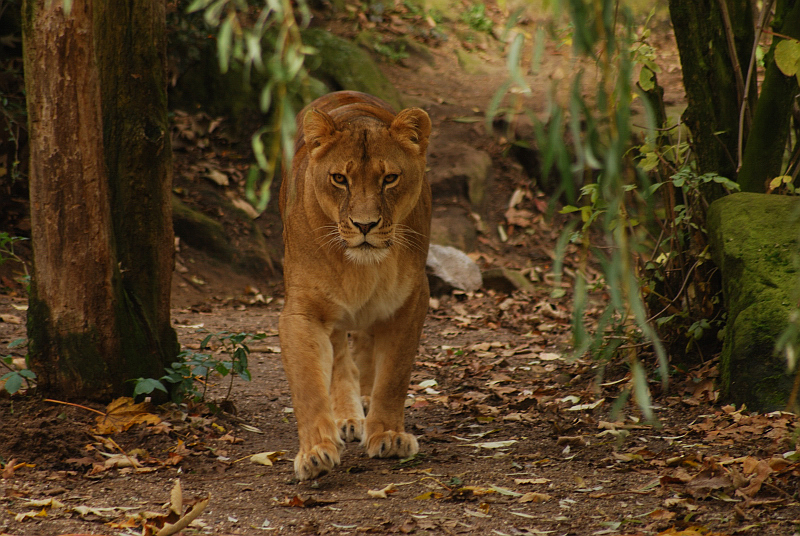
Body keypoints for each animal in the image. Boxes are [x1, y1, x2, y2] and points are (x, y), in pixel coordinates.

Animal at [278, 91, 432, 480]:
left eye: (390, 178)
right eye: (339, 178)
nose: (365, 225)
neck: (362, 269)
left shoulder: (411, 302)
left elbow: (394, 374)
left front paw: (388, 435)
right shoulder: (301, 311)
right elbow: (308, 382)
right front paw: (315, 451)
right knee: (339, 357)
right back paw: (347, 416)